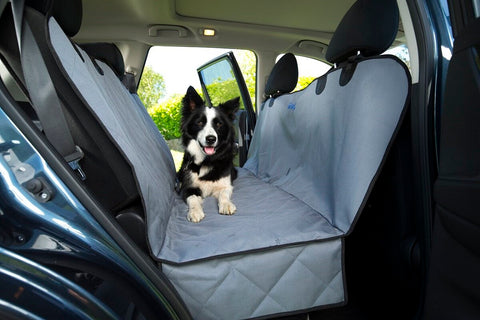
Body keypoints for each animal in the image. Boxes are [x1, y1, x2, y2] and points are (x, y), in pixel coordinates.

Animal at [177, 87, 239, 222]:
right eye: (200, 122)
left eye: (219, 124)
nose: (211, 139)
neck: (207, 160)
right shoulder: (187, 188)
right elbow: (193, 198)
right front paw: (195, 212)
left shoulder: (226, 185)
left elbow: (224, 194)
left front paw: (226, 205)